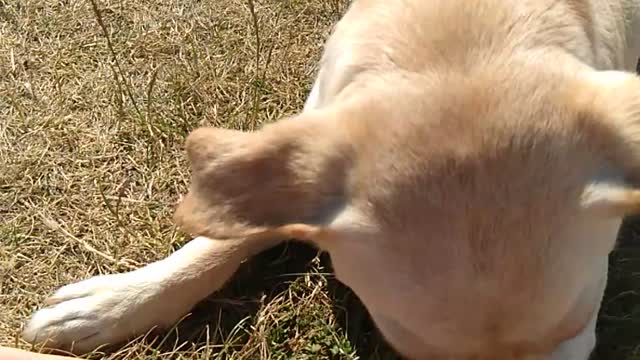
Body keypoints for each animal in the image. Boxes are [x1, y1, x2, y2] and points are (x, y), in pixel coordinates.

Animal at [22, 0, 640, 358]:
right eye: (413, 348)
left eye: (578, 332)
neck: (460, 37)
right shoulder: (310, 127)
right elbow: (230, 226)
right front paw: (115, 303)